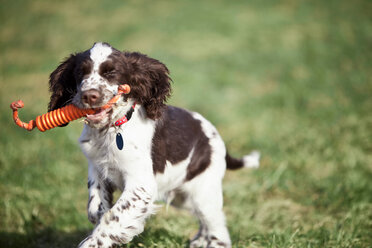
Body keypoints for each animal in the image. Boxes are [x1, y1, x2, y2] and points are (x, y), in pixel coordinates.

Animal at [48, 41, 260, 247]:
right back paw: (199, 240)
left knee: (216, 223)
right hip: (182, 195)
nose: (89, 95)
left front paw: (93, 242)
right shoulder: (96, 165)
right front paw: (98, 211)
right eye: (80, 73)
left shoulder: (140, 185)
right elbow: (95, 201)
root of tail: (218, 139)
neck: (111, 130)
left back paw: (215, 243)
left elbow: (113, 218)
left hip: (203, 190)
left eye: (111, 73)